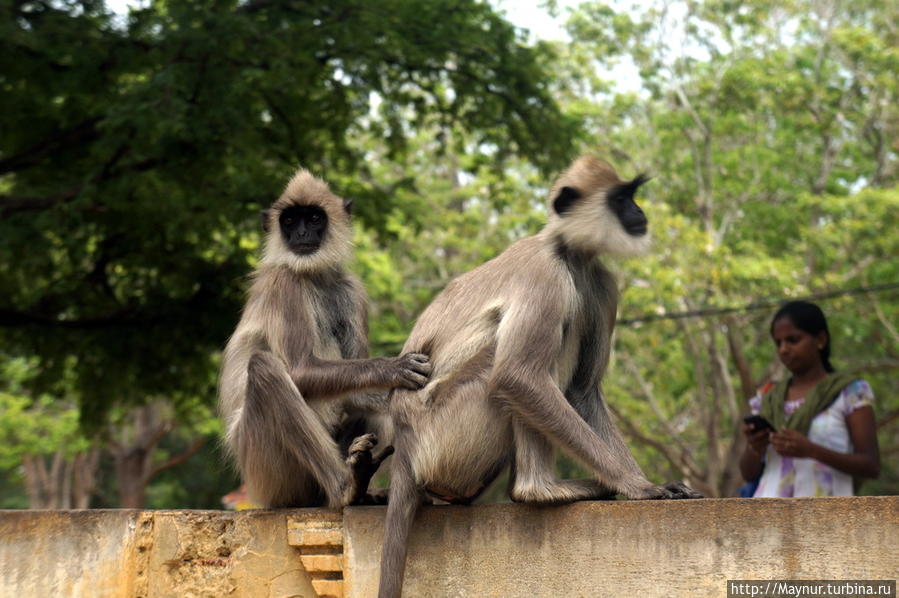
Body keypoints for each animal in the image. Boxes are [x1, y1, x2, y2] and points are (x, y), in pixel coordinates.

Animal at [216, 169, 430, 510]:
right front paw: (392, 367)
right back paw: (346, 488)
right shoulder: (285, 283)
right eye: (290, 221)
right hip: (268, 471)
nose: (302, 233)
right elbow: (299, 369)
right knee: (265, 367)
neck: (313, 274)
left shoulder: (352, 290)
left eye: (314, 217)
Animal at [380, 156, 704, 598]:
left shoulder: (602, 283)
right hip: (446, 430)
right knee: (514, 364)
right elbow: (518, 376)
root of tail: (405, 441)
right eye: (621, 199)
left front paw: (639, 481)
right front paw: (636, 485)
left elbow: (584, 390)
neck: (568, 253)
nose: (639, 212)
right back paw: (538, 490)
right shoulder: (545, 274)